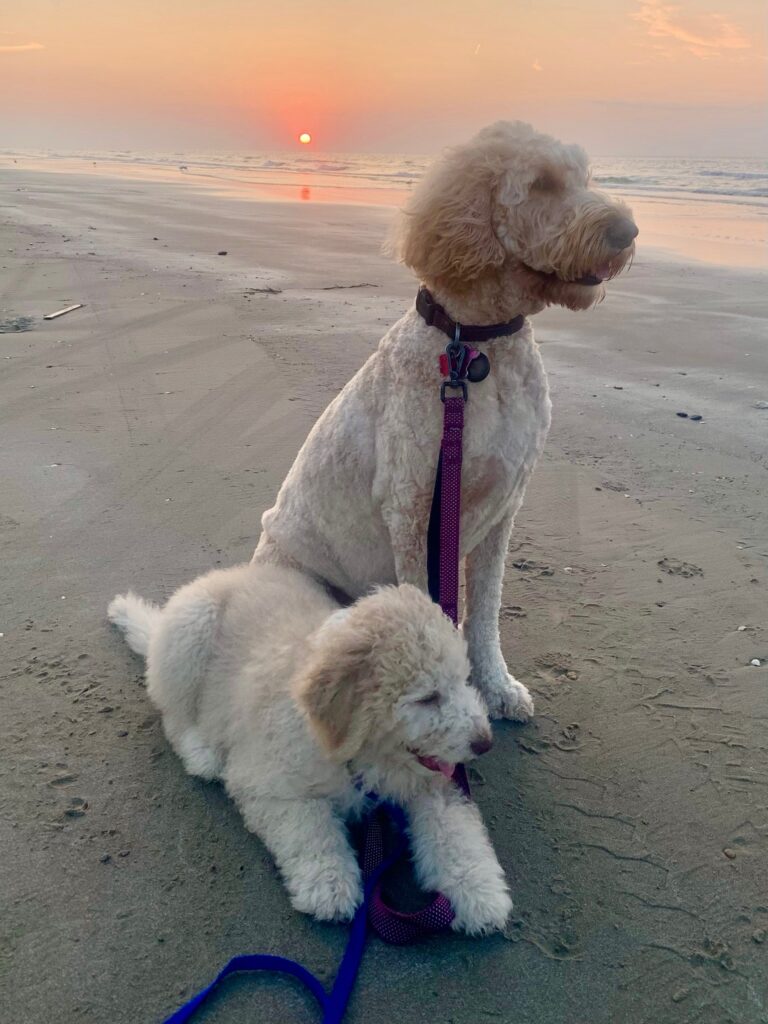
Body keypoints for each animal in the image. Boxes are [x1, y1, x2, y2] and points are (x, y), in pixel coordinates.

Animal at [107, 569, 512, 937]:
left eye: (463, 681)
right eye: (428, 697)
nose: (485, 742)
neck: (359, 757)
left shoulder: (428, 782)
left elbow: (452, 828)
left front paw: (478, 888)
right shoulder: (267, 780)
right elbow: (310, 827)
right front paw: (328, 883)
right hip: (189, 636)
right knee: (173, 712)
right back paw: (201, 750)